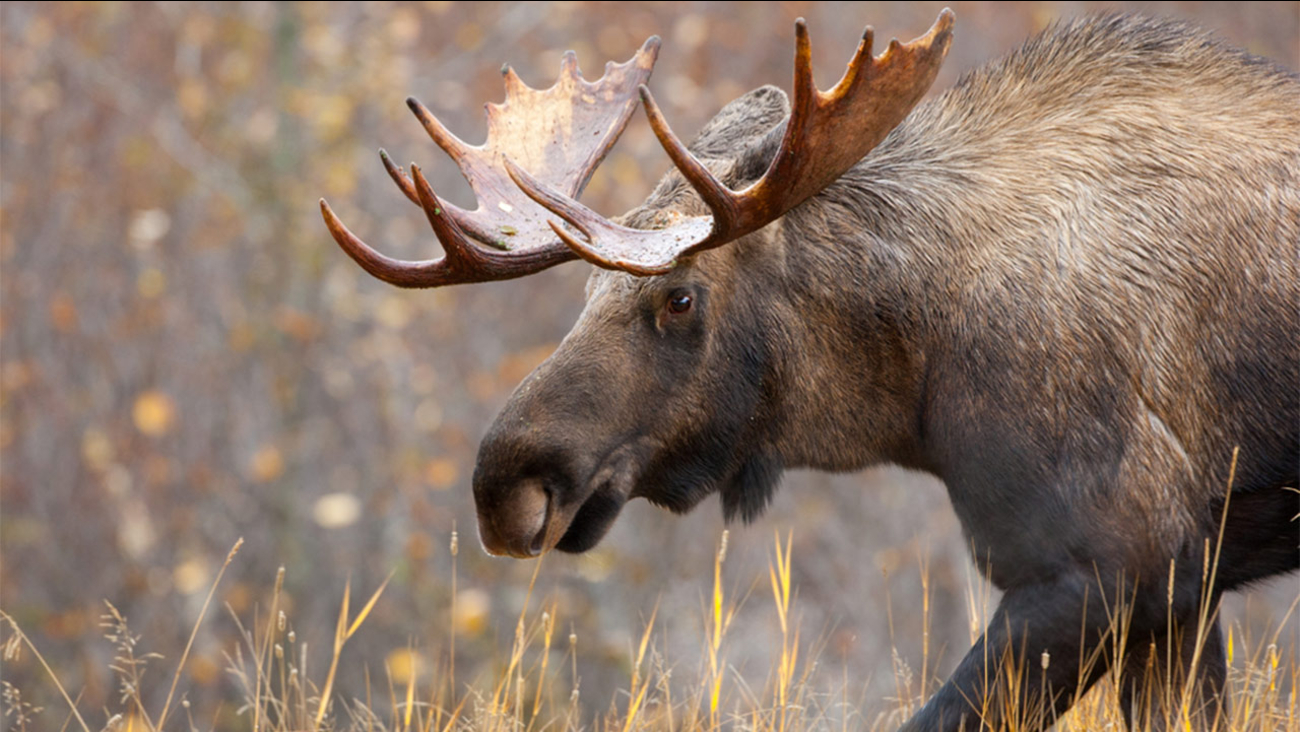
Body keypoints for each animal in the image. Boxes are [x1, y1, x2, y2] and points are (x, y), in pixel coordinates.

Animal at [320, 10, 1299, 731]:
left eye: (679, 298)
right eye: (583, 290)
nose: (504, 485)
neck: (917, 380)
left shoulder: (1110, 564)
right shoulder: (1181, 596)